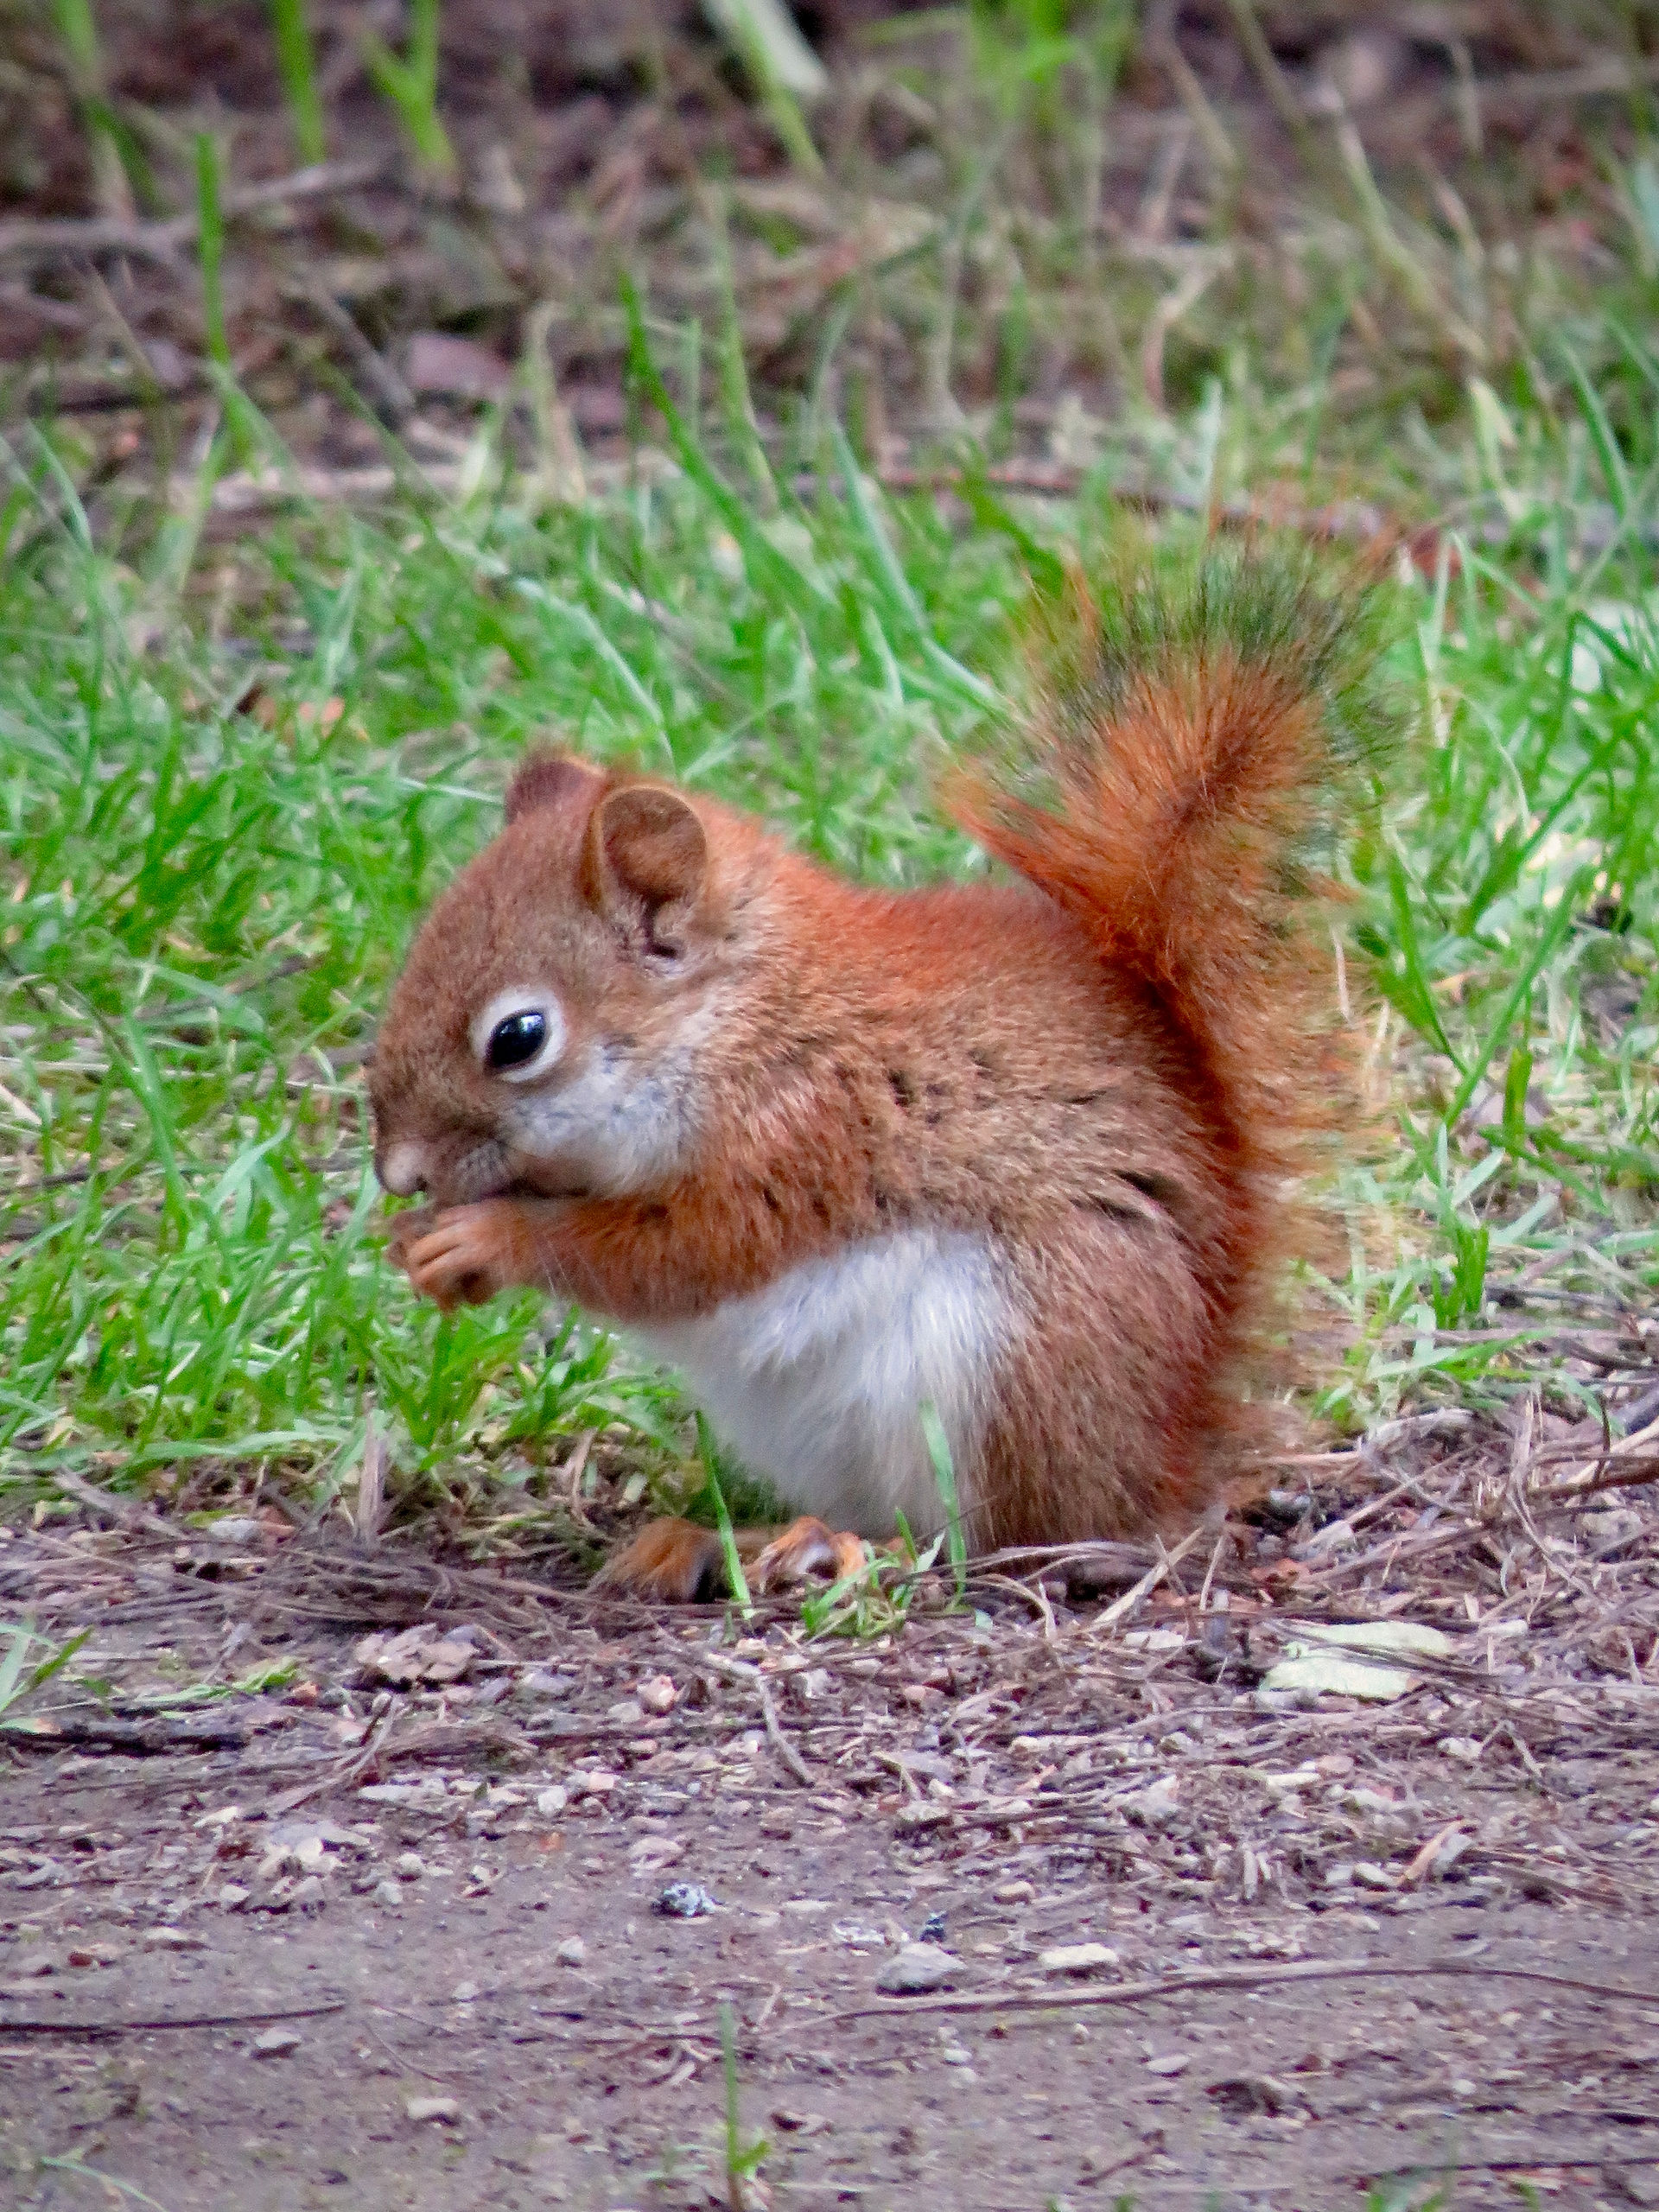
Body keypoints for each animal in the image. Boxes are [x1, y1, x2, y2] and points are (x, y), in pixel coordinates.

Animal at [370, 551, 1370, 1600]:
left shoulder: (807, 1135)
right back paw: (713, 1538)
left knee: (999, 1534)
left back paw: (850, 1550)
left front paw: (488, 1240)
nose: (396, 1172)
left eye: (518, 1037)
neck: (744, 1020)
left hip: (1014, 1361)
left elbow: (675, 1255)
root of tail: (1163, 1460)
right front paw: (420, 1247)